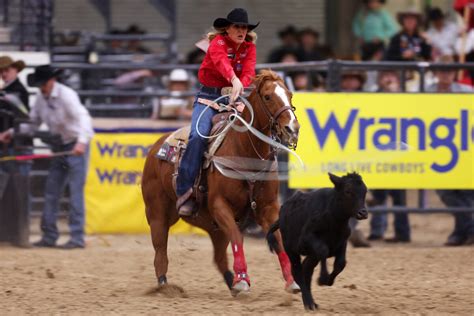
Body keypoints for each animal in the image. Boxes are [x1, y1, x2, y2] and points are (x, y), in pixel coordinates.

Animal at [142, 69, 300, 296]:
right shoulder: (220, 205)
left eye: (290, 94)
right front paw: (243, 280)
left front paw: (292, 281)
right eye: (268, 96)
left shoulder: (268, 207)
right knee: (160, 251)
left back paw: (231, 283)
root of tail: (157, 146)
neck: (244, 151)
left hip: (211, 225)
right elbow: (237, 237)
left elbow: (278, 239)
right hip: (157, 213)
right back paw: (165, 286)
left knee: (218, 257)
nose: (292, 128)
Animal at [268, 172, 368, 310]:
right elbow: (323, 250)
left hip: (311, 255)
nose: (363, 213)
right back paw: (308, 303)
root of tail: (282, 212)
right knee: (298, 272)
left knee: (306, 269)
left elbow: (341, 263)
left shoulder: (342, 242)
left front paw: (328, 280)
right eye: (348, 191)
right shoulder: (306, 239)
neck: (334, 219)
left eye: (365, 191)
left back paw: (312, 303)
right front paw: (322, 278)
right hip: (291, 250)